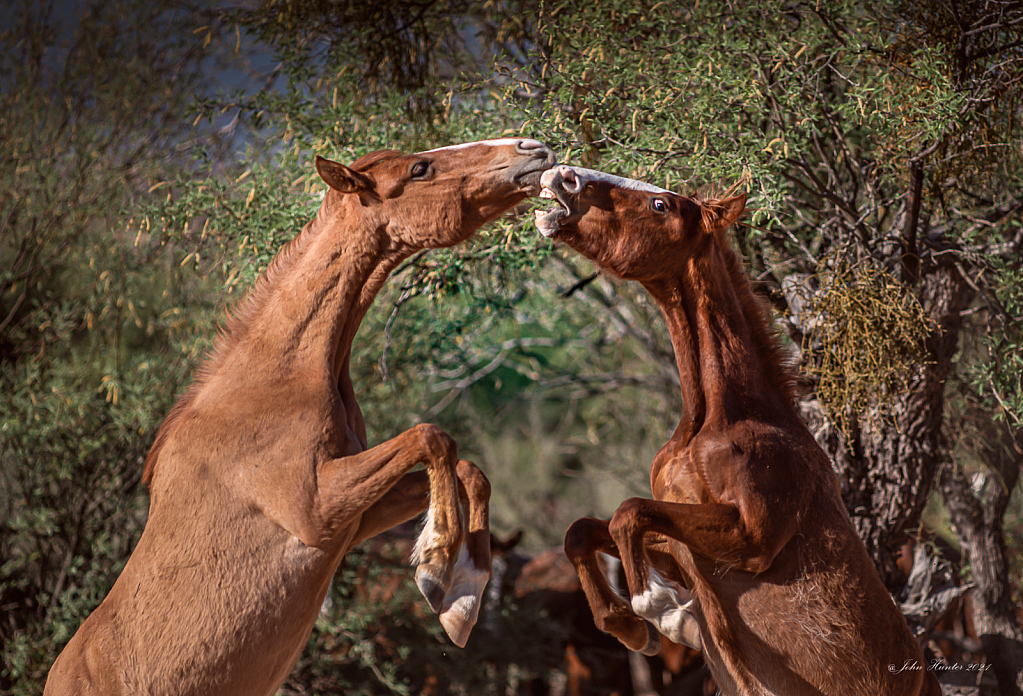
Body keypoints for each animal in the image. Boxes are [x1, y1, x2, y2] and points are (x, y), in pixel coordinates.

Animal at [43, 137, 556, 696]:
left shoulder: (356, 519)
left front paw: (460, 597)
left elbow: (470, 470)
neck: (276, 380)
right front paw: (438, 570)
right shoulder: (316, 508)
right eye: (420, 169)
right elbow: (432, 437)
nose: (533, 149)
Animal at [536, 164, 941, 696]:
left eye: (661, 205)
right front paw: (629, 626)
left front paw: (658, 609)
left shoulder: (752, 538)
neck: (721, 419)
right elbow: (583, 530)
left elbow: (629, 513)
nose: (560, 176)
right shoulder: (678, 549)